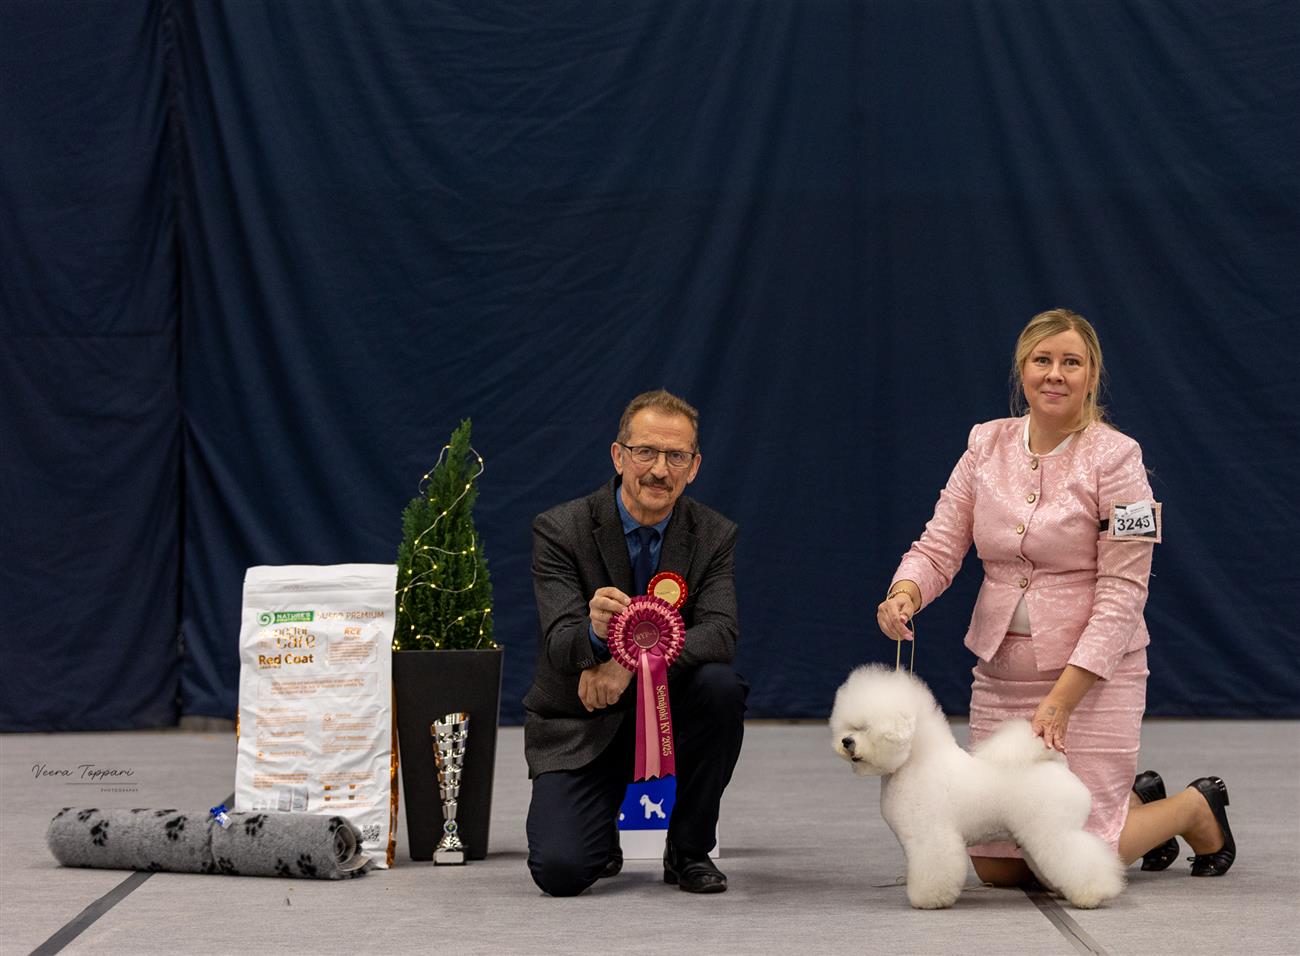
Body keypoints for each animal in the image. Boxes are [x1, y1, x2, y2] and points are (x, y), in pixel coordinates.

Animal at [830, 664, 1124, 909]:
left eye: (866, 728)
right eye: (849, 726)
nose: (846, 742)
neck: (916, 762)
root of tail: (1058, 765)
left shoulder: (932, 835)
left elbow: (934, 866)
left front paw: (929, 900)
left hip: (1054, 830)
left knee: (1081, 857)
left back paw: (1093, 893)